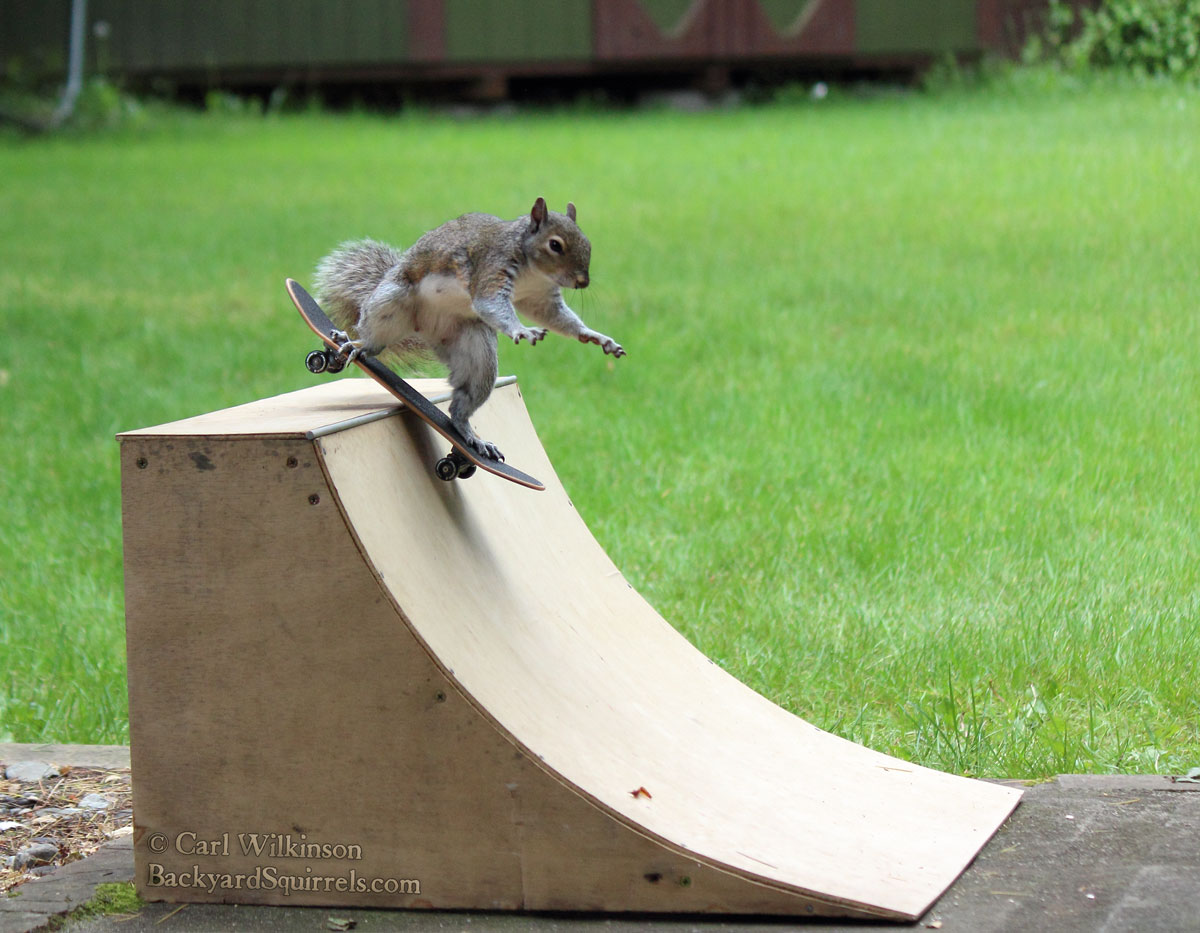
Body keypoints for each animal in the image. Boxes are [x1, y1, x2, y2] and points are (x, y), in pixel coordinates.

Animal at [313, 197, 624, 461]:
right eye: (556, 245)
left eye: (587, 242)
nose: (583, 281)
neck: (532, 272)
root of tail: (423, 328)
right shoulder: (491, 270)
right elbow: (491, 304)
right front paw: (521, 330)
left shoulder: (540, 297)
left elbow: (558, 318)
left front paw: (595, 337)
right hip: (390, 303)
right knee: (375, 339)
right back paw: (358, 344)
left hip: (475, 348)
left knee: (460, 402)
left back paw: (470, 434)